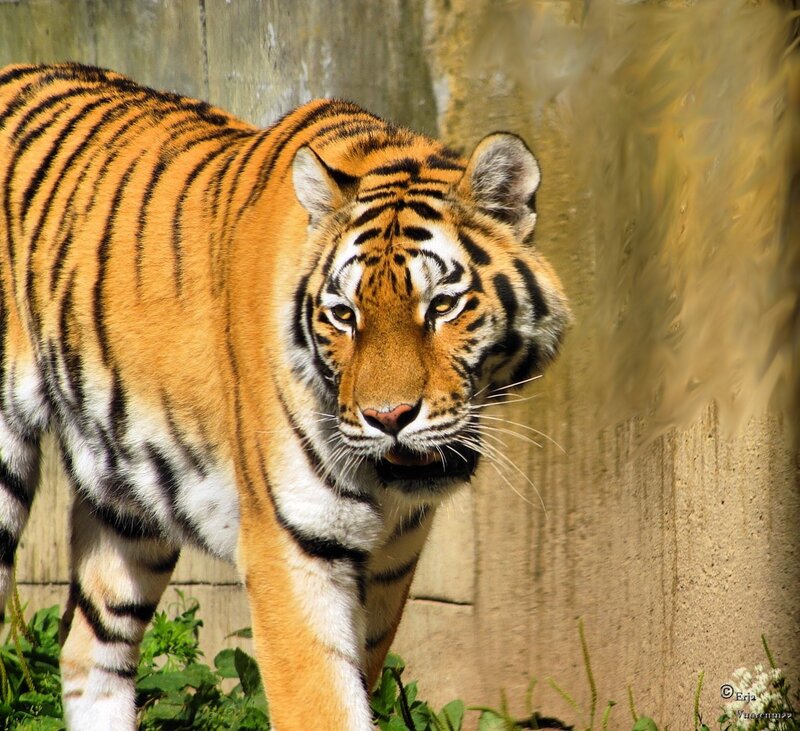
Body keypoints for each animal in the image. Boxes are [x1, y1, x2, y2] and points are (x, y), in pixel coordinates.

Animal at [0, 62, 569, 730]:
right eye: (344, 316)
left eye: (442, 306)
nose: (390, 418)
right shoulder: (292, 550)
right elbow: (322, 703)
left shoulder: (390, 563)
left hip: (125, 502)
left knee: (88, 651)